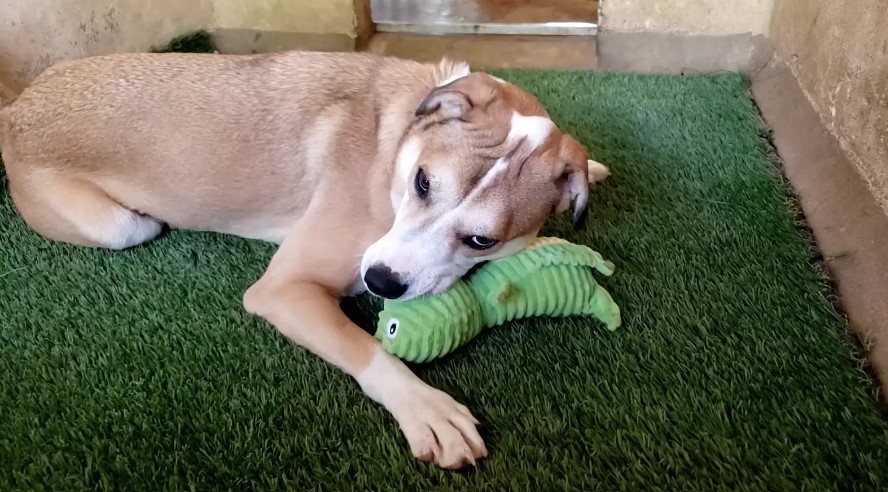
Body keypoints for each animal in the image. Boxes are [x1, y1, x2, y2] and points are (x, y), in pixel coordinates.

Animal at [0, 51, 608, 468]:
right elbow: (366, 349)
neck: (397, 138)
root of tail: (16, 110)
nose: (379, 280)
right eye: (422, 182)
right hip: (126, 227)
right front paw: (425, 408)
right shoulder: (283, 289)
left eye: (482, 241)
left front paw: (594, 168)